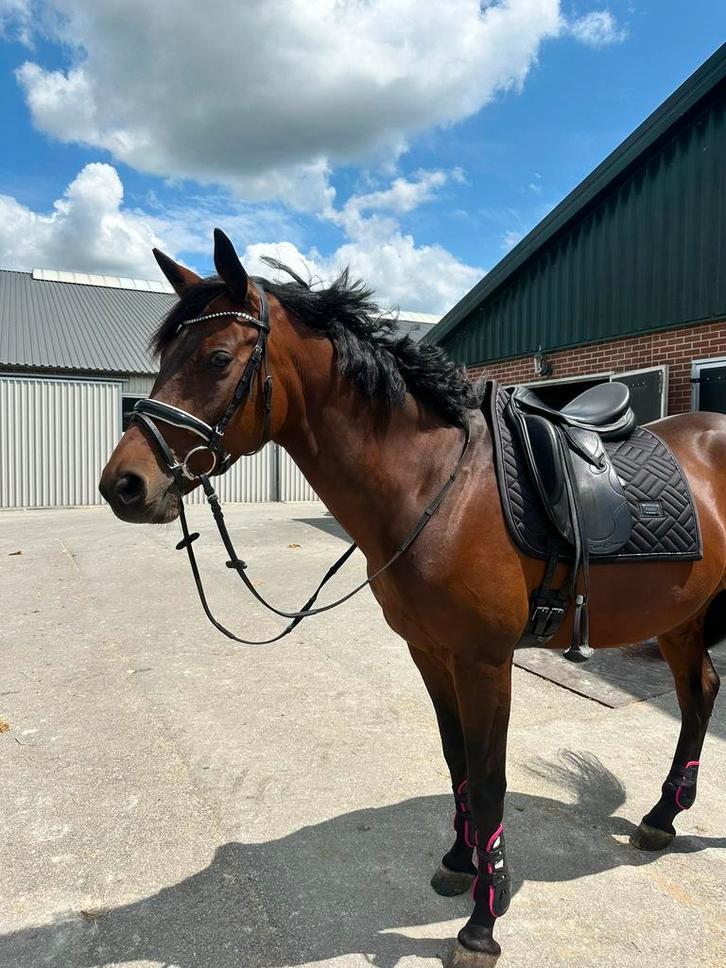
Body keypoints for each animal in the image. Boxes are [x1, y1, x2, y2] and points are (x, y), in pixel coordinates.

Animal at [99, 229, 725, 967]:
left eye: (218, 358)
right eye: (164, 360)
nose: (123, 485)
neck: (436, 488)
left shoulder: (484, 661)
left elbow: (488, 778)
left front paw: (482, 923)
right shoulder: (430, 654)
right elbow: (458, 765)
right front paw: (461, 865)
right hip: (681, 616)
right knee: (699, 693)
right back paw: (660, 819)